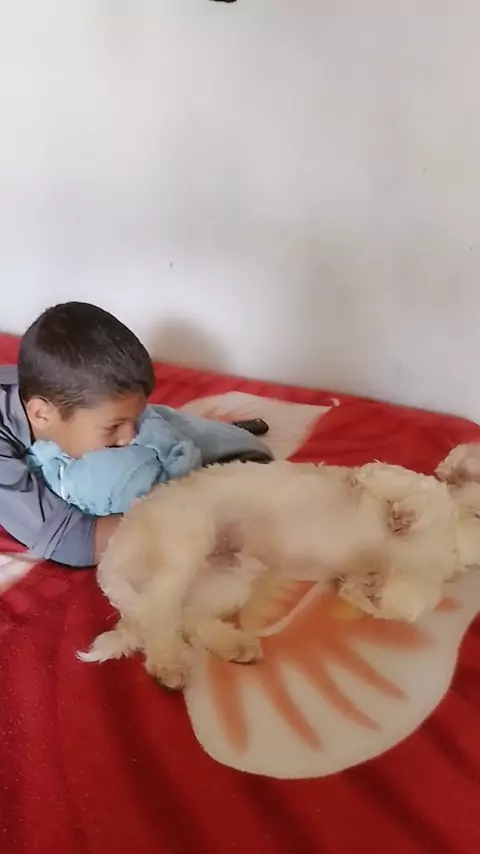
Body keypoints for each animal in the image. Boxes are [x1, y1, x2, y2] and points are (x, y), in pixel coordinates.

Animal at [78, 450, 480, 690]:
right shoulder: (392, 479)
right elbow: (411, 490)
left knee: (186, 616)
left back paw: (232, 644)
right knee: (161, 608)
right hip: (188, 536)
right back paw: (169, 662)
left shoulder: (419, 581)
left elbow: (408, 601)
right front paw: (404, 514)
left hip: (230, 579)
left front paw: (369, 587)